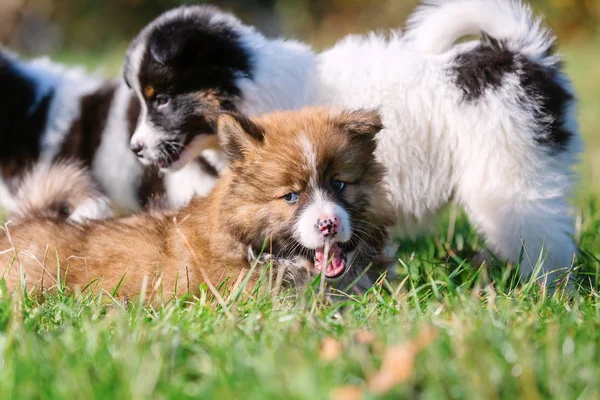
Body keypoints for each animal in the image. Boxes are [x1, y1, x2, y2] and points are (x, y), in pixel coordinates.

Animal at [125, 0, 580, 288]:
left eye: (161, 99)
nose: (134, 148)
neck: (253, 85)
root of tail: (518, 52)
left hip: (508, 177)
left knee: (546, 241)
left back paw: (551, 293)